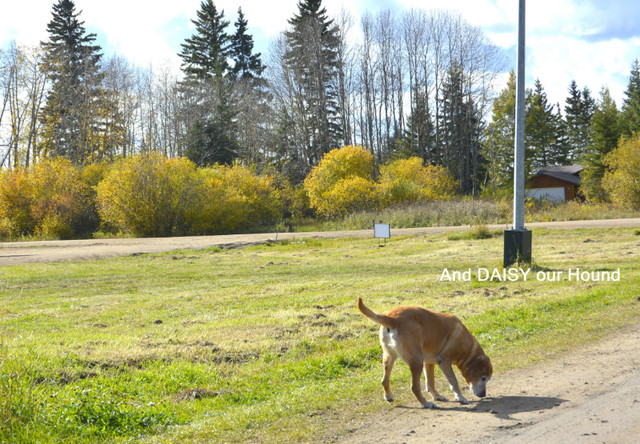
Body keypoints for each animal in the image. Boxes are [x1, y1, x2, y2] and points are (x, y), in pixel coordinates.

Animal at [358, 296, 492, 408]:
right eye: (483, 378)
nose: (484, 395)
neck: (468, 347)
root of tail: (392, 319)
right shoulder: (443, 361)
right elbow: (453, 381)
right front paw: (460, 397)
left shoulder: (429, 363)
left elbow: (430, 382)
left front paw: (437, 396)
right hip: (417, 361)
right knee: (414, 387)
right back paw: (426, 403)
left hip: (389, 357)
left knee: (384, 380)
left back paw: (388, 396)